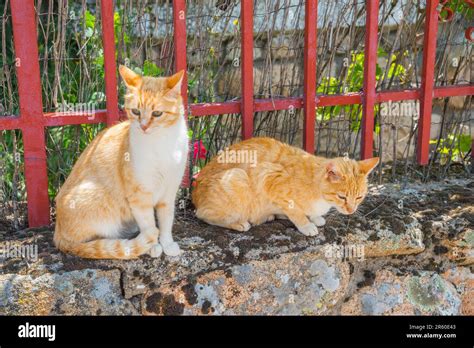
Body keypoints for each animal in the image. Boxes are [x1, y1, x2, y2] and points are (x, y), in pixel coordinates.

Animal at [54, 66, 189, 260]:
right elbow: (149, 223)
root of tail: (57, 235)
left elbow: (166, 221)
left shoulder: (169, 193)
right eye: (136, 112)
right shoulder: (138, 196)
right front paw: (153, 246)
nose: (144, 127)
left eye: (157, 113)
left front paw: (167, 244)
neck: (160, 142)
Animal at [191, 137, 380, 238]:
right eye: (342, 197)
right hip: (237, 177)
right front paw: (306, 225)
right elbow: (296, 212)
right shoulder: (270, 177)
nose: (351, 210)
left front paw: (315, 217)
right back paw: (239, 223)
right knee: (203, 215)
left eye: (359, 197)